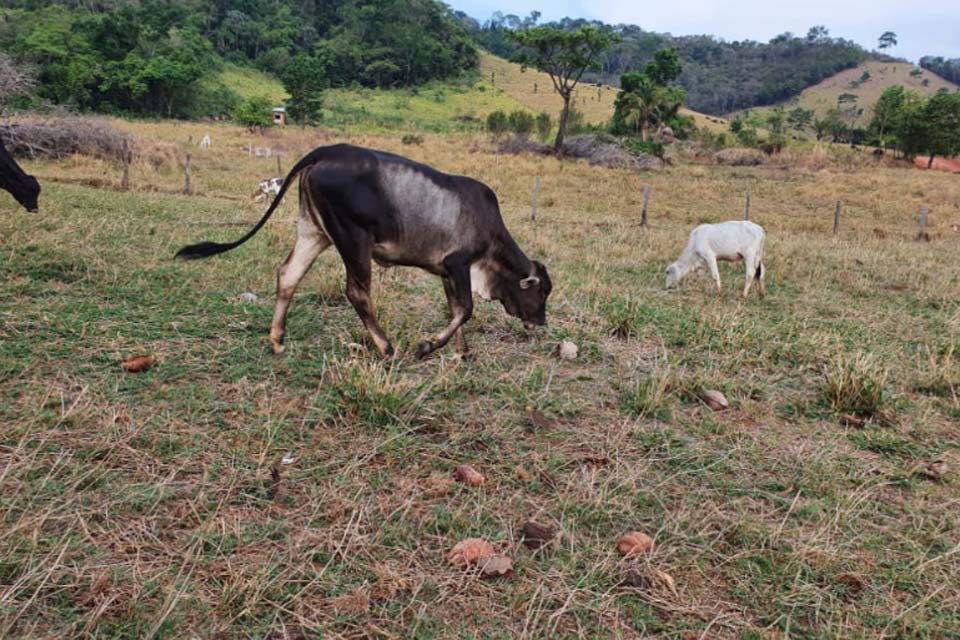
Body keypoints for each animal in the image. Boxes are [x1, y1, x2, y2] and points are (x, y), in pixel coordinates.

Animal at [176, 142, 552, 358]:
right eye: (541, 293)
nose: (541, 321)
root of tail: (328, 151)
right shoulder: (458, 263)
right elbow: (466, 310)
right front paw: (427, 346)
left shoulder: (447, 272)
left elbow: (455, 311)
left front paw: (461, 351)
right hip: (353, 239)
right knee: (357, 292)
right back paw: (386, 348)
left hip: (315, 232)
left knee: (289, 274)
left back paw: (277, 339)